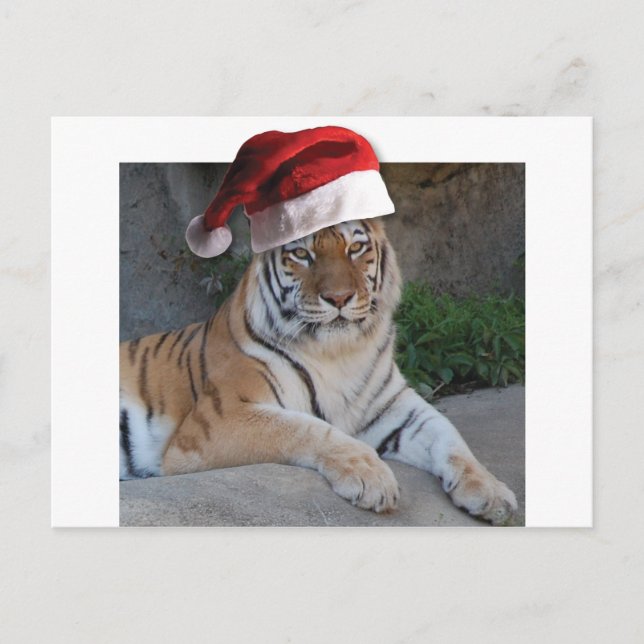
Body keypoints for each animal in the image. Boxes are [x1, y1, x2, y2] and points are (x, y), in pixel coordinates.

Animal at [120, 218, 518, 524]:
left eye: (355, 249)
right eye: (301, 254)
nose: (338, 298)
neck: (338, 353)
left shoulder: (395, 407)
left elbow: (450, 437)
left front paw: (492, 492)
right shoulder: (216, 421)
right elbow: (307, 428)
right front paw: (371, 477)